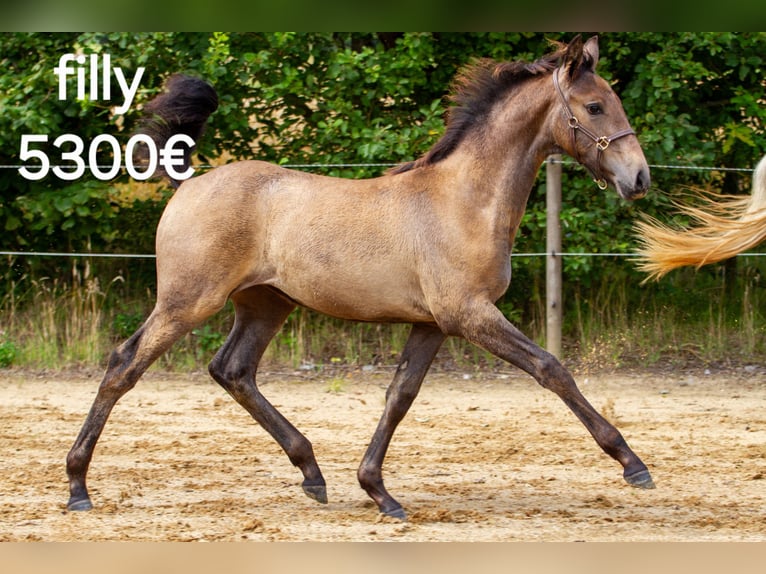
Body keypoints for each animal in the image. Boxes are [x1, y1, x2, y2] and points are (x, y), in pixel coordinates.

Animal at [66, 35, 654, 521]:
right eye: (595, 106)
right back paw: (77, 487)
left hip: (265, 303)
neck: (463, 200)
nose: (640, 178)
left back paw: (312, 473)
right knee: (123, 365)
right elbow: (552, 369)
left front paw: (378, 491)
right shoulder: (470, 313)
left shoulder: (433, 323)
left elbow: (400, 395)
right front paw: (633, 463)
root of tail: (188, 183)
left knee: (232, 370)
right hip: (188, 300)